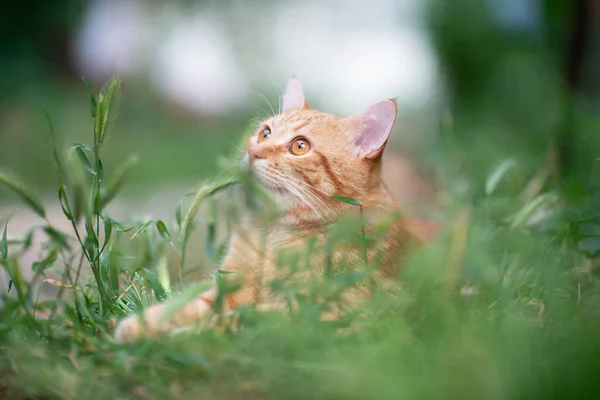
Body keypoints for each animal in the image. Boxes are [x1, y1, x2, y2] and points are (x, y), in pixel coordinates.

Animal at [113, 78, 440, 344]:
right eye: (265, 134)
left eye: (300, 146)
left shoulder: (328, 312)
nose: (253, 152)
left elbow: (237, 322)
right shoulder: (227, 286)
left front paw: (189, 335)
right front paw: (143, 325)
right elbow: (187, 305)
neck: (274, 235)